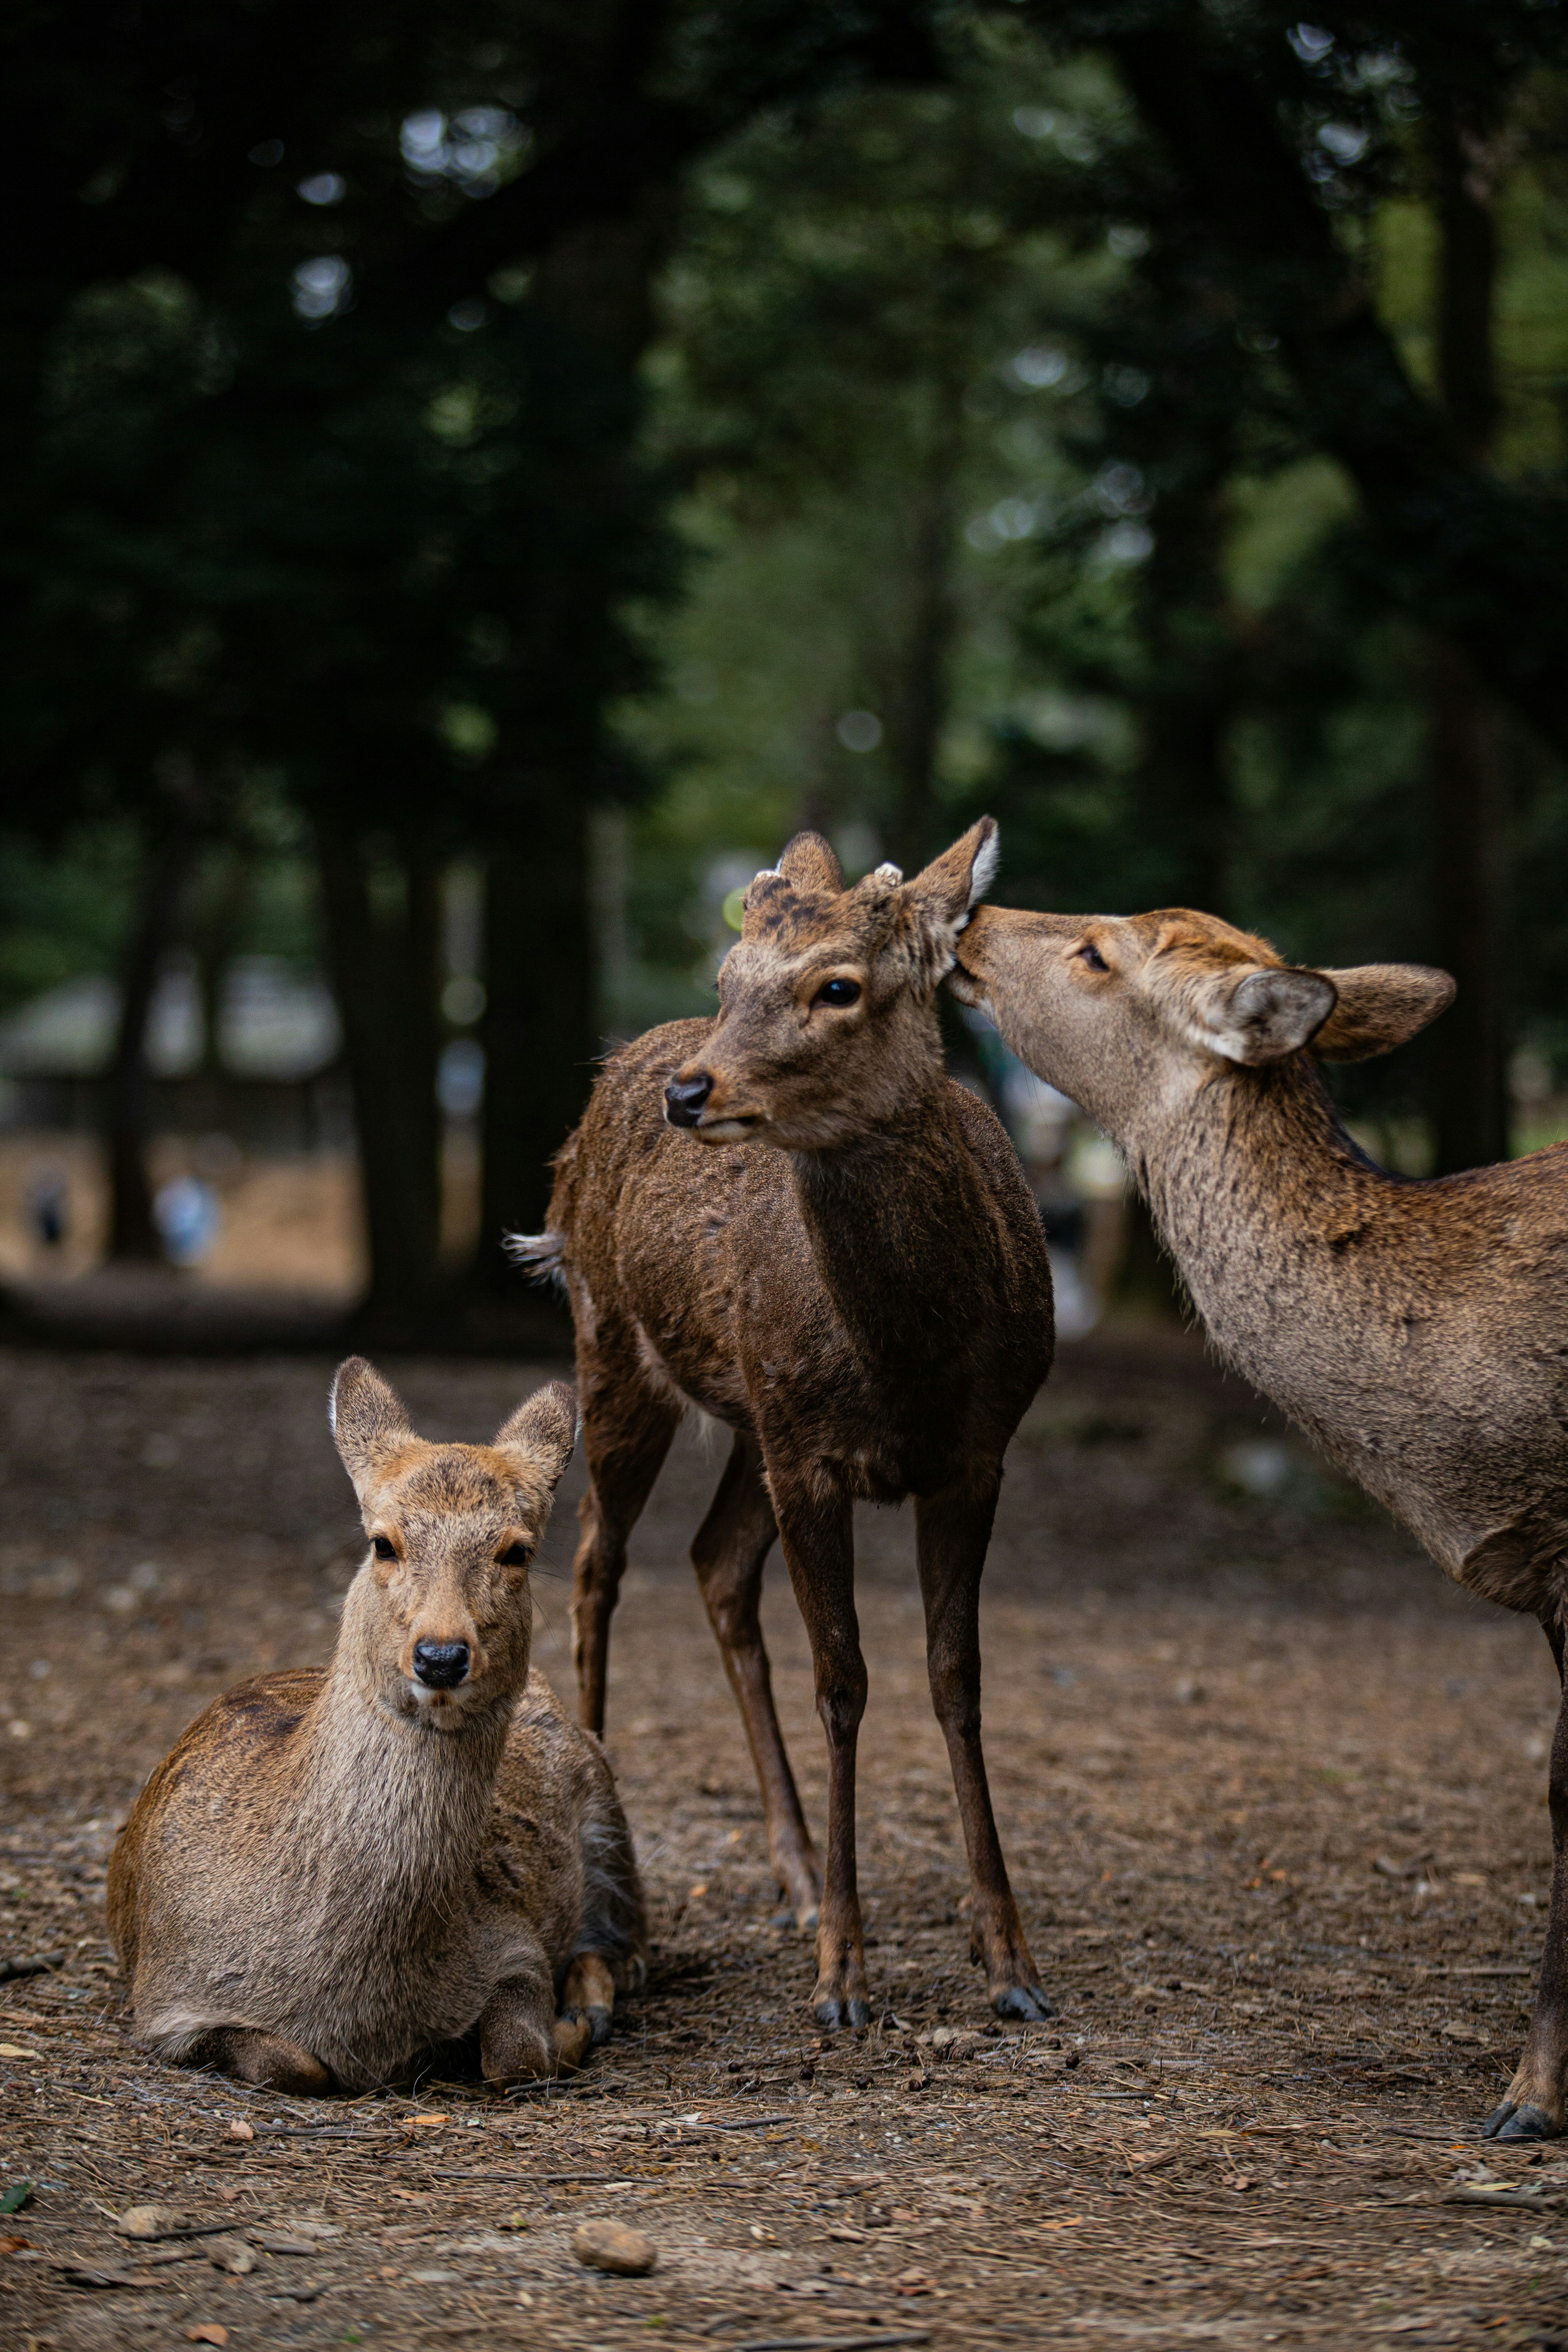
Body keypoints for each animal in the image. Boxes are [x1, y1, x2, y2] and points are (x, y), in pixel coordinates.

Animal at [106, 1364, 644, 2098]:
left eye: (517, 1551)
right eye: (383, 1542)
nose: (441, 1655)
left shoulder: (513, 1943)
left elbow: (515, 2056)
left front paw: (569, 2024)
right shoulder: (166, 2003)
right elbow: (289, 2064)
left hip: (612, 1819)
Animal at [522, 823, 1062, 2022]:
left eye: (838, 986)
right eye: (728, 978)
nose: (691, 1090)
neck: (909, 1360)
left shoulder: (978, 1453)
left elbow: (957, 1678)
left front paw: (1008, 1957)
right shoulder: (812, 1460)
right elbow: (844, 1681)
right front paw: (844, 1975)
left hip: (753, 1420)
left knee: (714, 1561)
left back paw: (799, 1871)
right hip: (615, 1348)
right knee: (592, 1565)